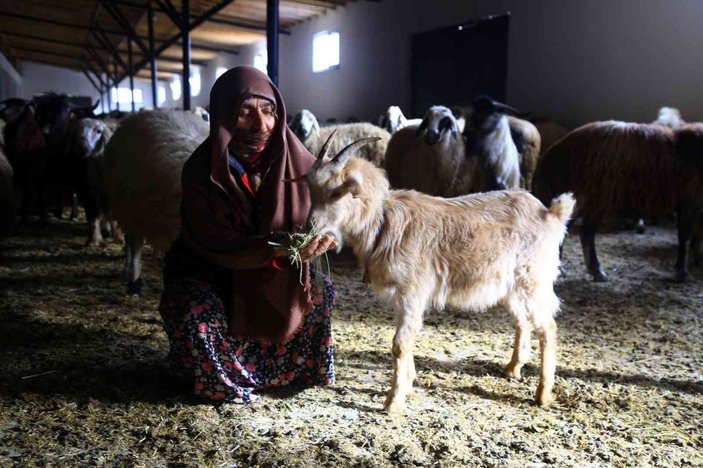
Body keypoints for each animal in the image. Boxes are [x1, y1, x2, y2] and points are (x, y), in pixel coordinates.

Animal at [302, 132, 572, 414]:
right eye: (311, 188)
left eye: (336, 192)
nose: (310, 226)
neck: (384, 223)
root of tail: (551, 214)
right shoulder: (405, 296)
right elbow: (408, 337)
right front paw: (409, 383)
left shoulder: (412, 291)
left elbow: (400, 343)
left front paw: (393, 401)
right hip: (510, 286)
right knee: (523, 320)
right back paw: (512, 368)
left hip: (534, 278)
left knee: (548, 327)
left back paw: (542, 394)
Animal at [532, 120, 703, 282]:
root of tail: (554, 153)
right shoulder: (690, 202)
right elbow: (685, 238)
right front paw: (682, 273)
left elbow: (695, 237)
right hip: (594, 197)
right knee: (585, 232)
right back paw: (595, 271)